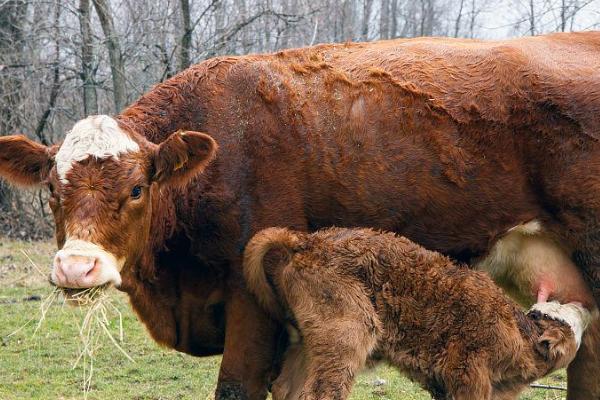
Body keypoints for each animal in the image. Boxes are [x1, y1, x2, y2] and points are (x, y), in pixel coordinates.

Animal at [243, 227, 592, 400]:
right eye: (564, 322)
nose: (584, 303)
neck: (521, 334)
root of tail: (306, 243)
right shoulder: (467, 372)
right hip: (349, 331)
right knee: (318, 392)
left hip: (308, 340)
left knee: (286, 388)